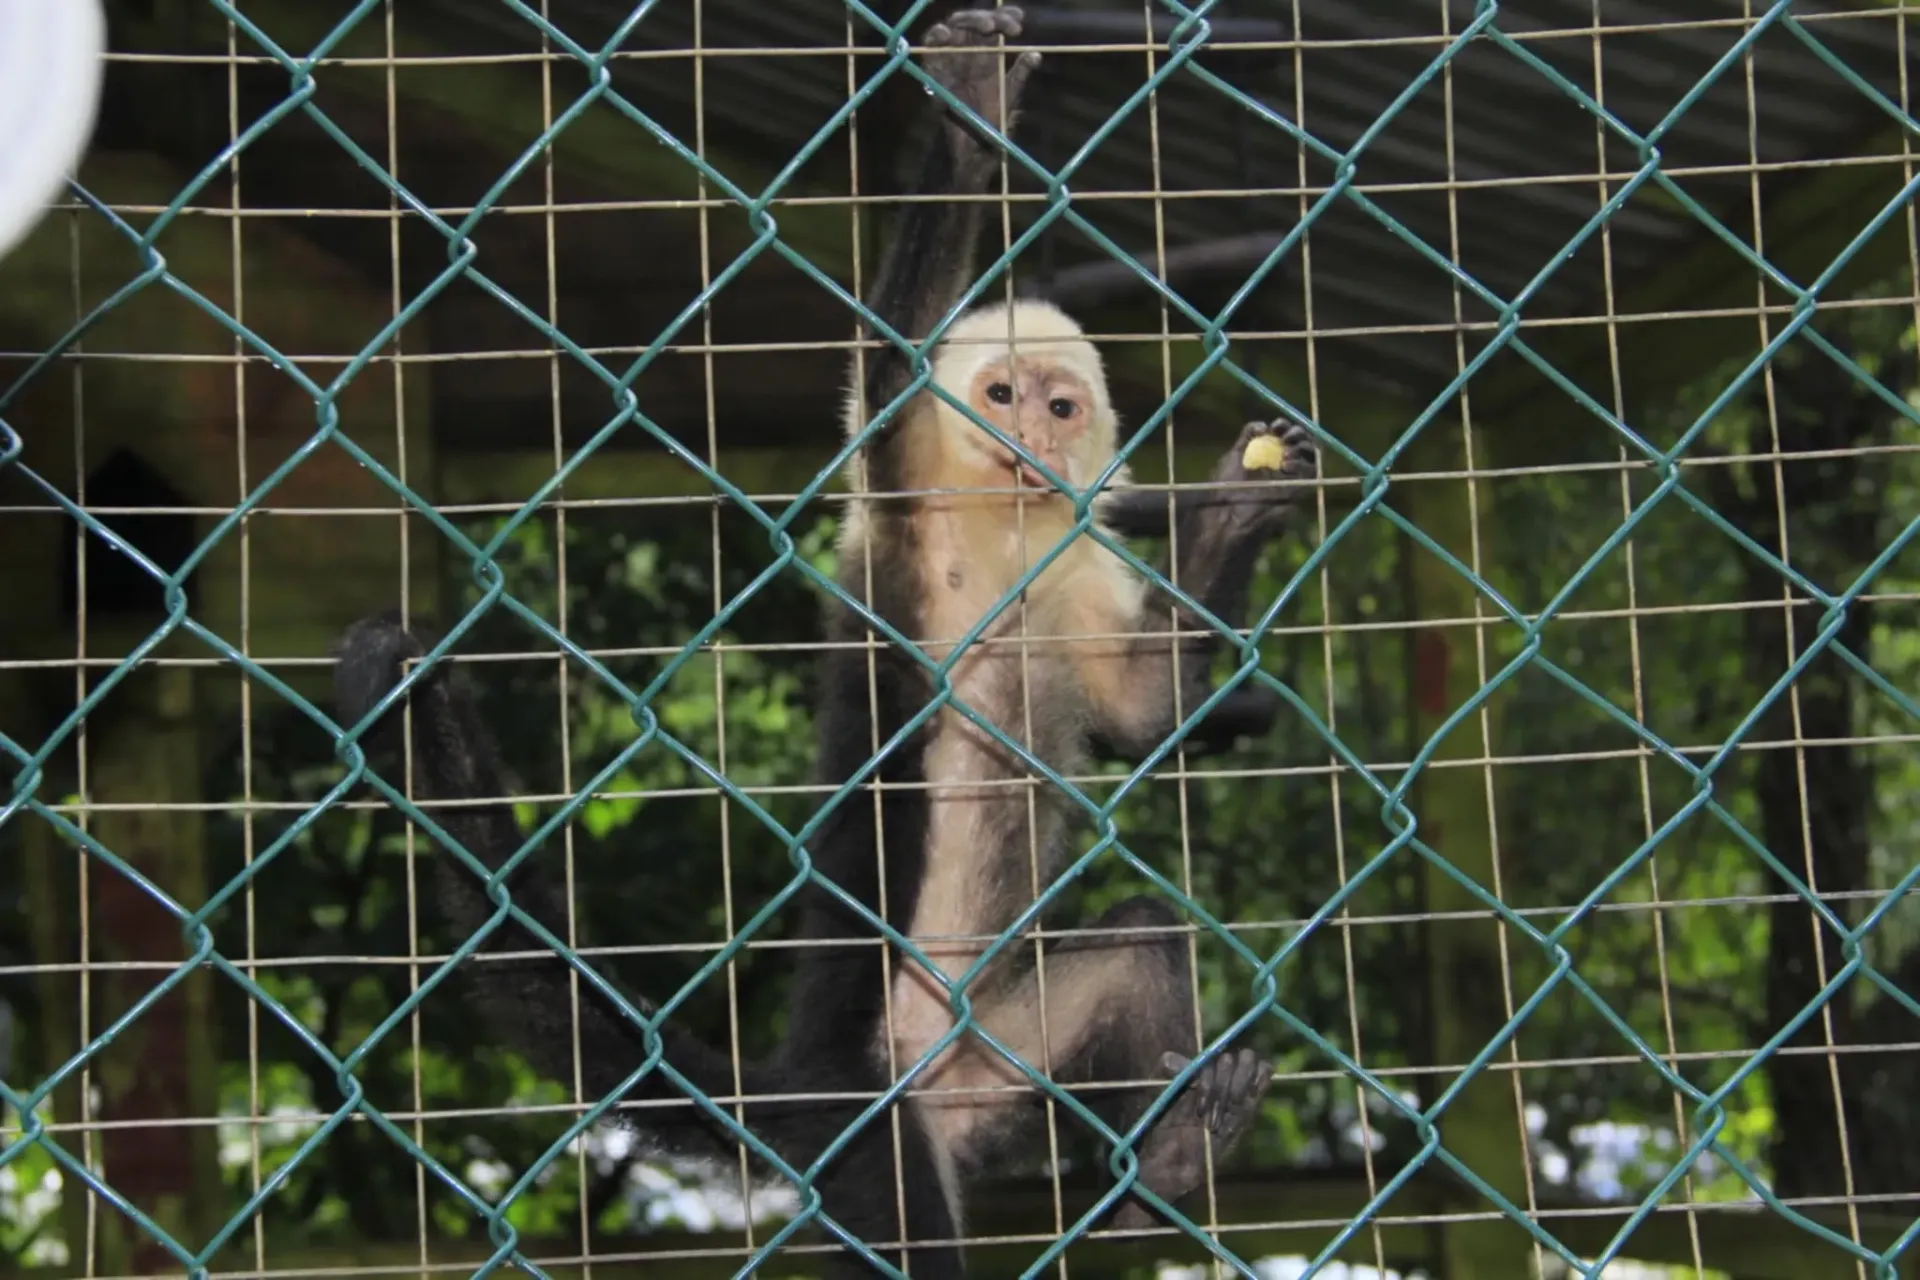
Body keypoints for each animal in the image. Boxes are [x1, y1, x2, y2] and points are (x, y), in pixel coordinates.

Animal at [332, 9, 1318, 1277]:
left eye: (1059, 405)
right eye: (999, 394)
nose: (1030, 440)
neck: (1001, 529)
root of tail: (825, 1086)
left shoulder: (1078, 553)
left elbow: (1149, 706)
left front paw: (1233, 513)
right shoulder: (901, 501)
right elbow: (892, 367)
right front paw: (966, 121)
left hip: (991, 1067)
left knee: (1143, 939)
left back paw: (1165, 1170)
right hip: (874, 1140)